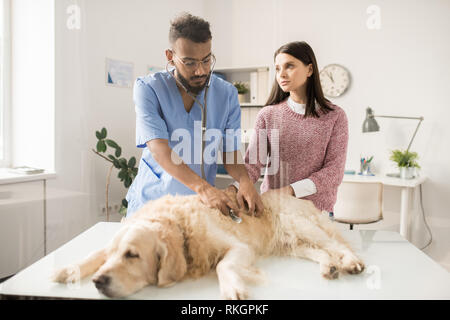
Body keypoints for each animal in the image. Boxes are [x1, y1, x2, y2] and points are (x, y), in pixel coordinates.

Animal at [51, 188, 364, 300]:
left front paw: (233, 288)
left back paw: (350, 263)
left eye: (132, 255)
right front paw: (69, 270)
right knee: (320, 251)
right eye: (115, 254)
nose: (98, 282)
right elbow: (93, 253)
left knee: (337, 245)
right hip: (293, 242)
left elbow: (223, 265)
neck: (179, 227)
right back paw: (329, 267)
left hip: (300, 224)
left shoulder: (240, 248)